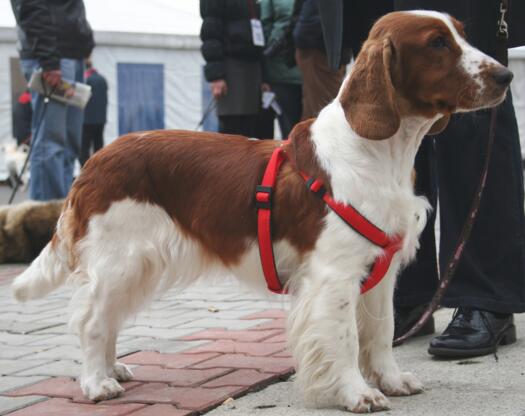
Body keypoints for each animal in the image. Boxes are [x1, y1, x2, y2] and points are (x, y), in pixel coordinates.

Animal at [11, 11, 512, 412]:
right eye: (437, 43)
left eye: (463, 34)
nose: (506, 74)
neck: (379, 152)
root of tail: (93, 160)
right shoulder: (333, 275)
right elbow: (346, 340)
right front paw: (358, 394)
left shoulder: (380, 270)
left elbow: (381, 330)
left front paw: (390, 380)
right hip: (121, 258)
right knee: (93, 319)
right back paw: (97, 382)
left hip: (137, 265)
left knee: (108, 317)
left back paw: (114, 369)